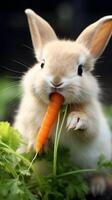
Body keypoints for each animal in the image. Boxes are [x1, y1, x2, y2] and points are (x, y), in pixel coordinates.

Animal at [13, 9, 112, 195]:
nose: (56, 82)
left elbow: (89, 129)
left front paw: (76, 120)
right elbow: (31, 130)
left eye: (80, 70)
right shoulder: (27, 117)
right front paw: (38, 144)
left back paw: (98, 185)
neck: (58, 109)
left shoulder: (94, 119)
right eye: (42, 64)